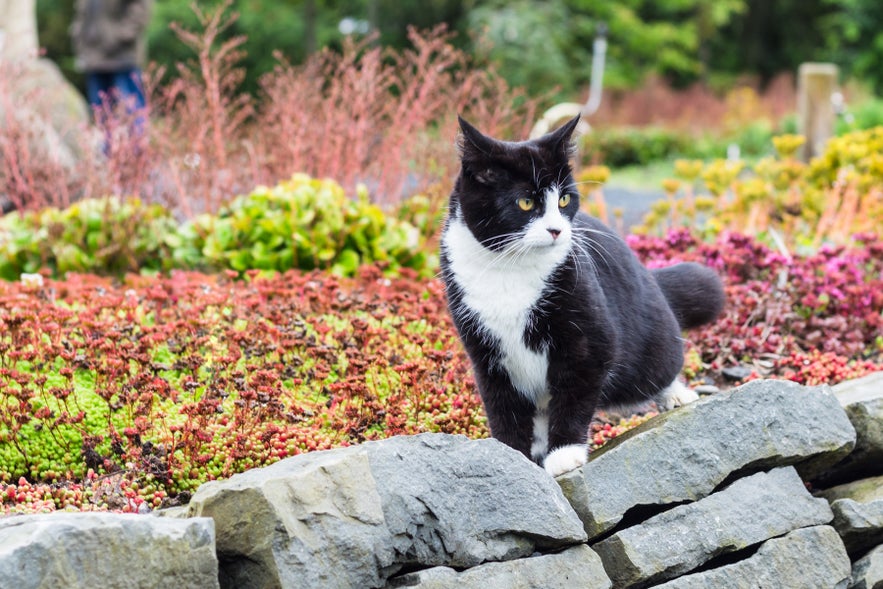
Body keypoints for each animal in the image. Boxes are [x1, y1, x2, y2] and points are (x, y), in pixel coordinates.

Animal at [442, 116, 724, 478]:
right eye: (526, 202)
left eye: (564, 200)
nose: (557, 230)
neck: (509, 268)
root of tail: (649, 274)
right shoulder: (484, 351)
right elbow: (502, 403)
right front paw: (512, 457)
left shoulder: (589, 336)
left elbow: (576, 390)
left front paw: (564, 454)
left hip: (650, 339)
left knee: (661, 364)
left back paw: (675, 395)